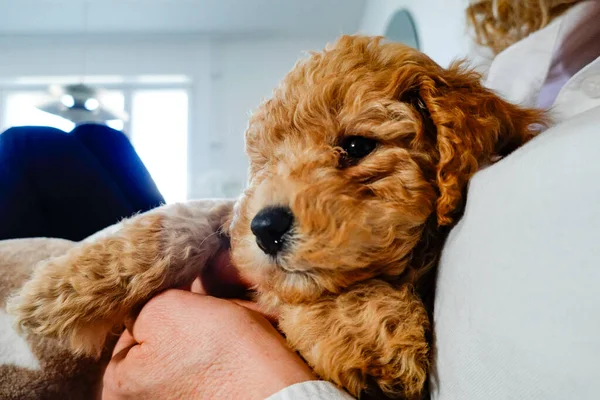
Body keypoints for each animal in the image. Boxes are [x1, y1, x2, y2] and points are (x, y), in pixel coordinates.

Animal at [7, 36, 548, 398]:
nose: (265, 228)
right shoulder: (232, 220)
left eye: (357, 147)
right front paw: (63, 288)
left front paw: (364, 338)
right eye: (265, 162)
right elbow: (191, 217)